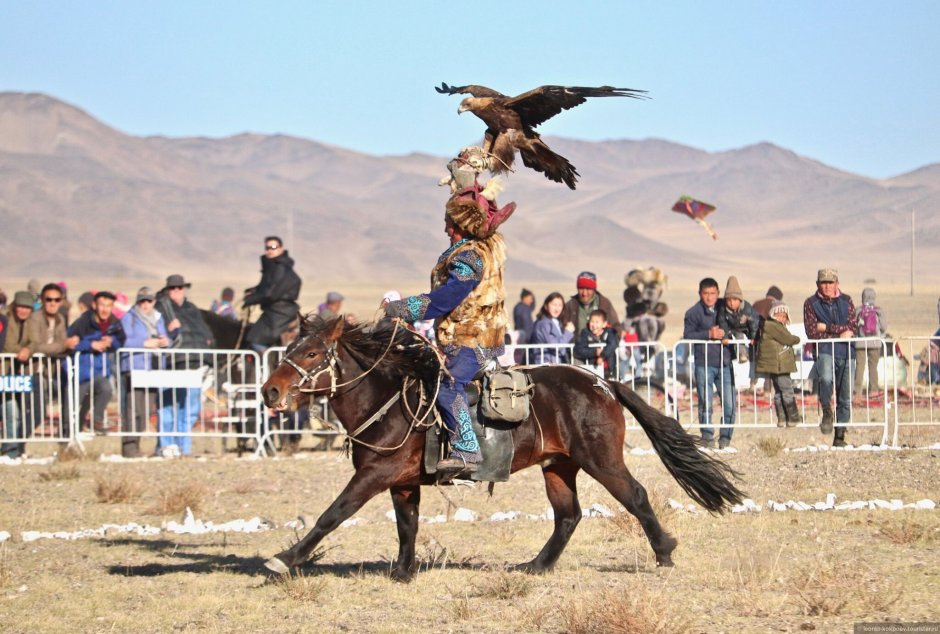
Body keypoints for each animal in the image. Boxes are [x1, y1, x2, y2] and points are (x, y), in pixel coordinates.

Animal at [262, 316, 740, 576]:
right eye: (290, 348)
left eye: (311, 354)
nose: (269, 392)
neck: (387, 399)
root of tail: (603, 382)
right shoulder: (401, 481)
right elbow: (407, 525)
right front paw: (402, 571)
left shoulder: (374, 476)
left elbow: (333, 514)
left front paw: (285, 558)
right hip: (558, 466)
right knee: (568, 515)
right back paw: (537, 565)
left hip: (601, 460)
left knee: (636, 496)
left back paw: (664, 552)